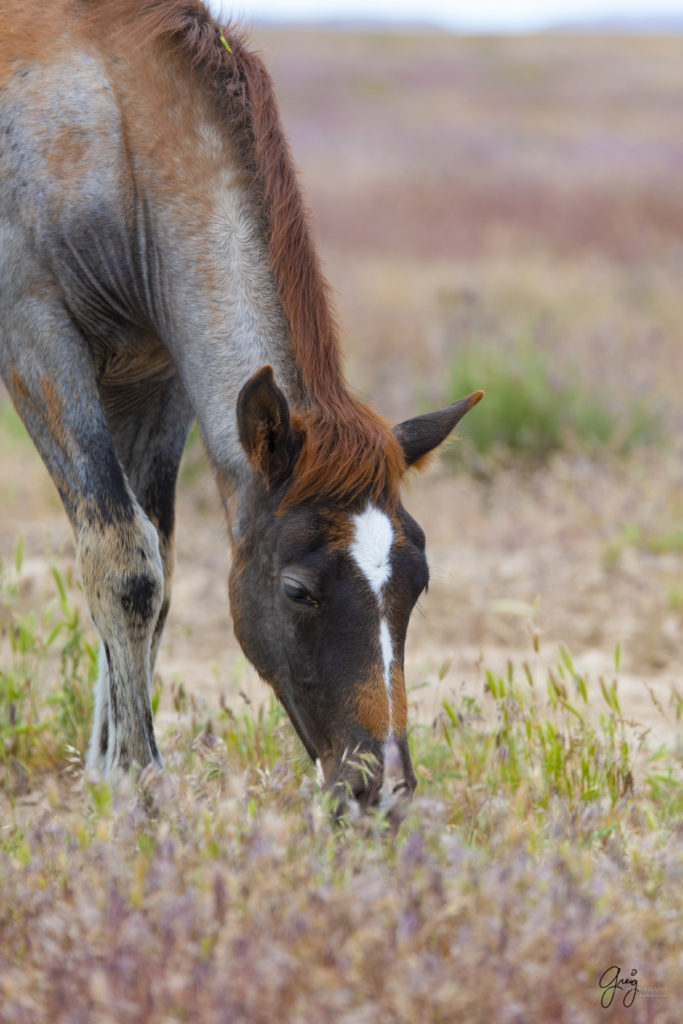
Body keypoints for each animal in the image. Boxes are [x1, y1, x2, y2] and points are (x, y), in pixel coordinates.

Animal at [0, 4, 483, 811]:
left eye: (416, 583)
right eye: (297, 590)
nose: (382, 788)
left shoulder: (155, 379)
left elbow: (157, 566)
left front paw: (105, 774)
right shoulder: (36, 343)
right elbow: (123, 564)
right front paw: (142, 784)